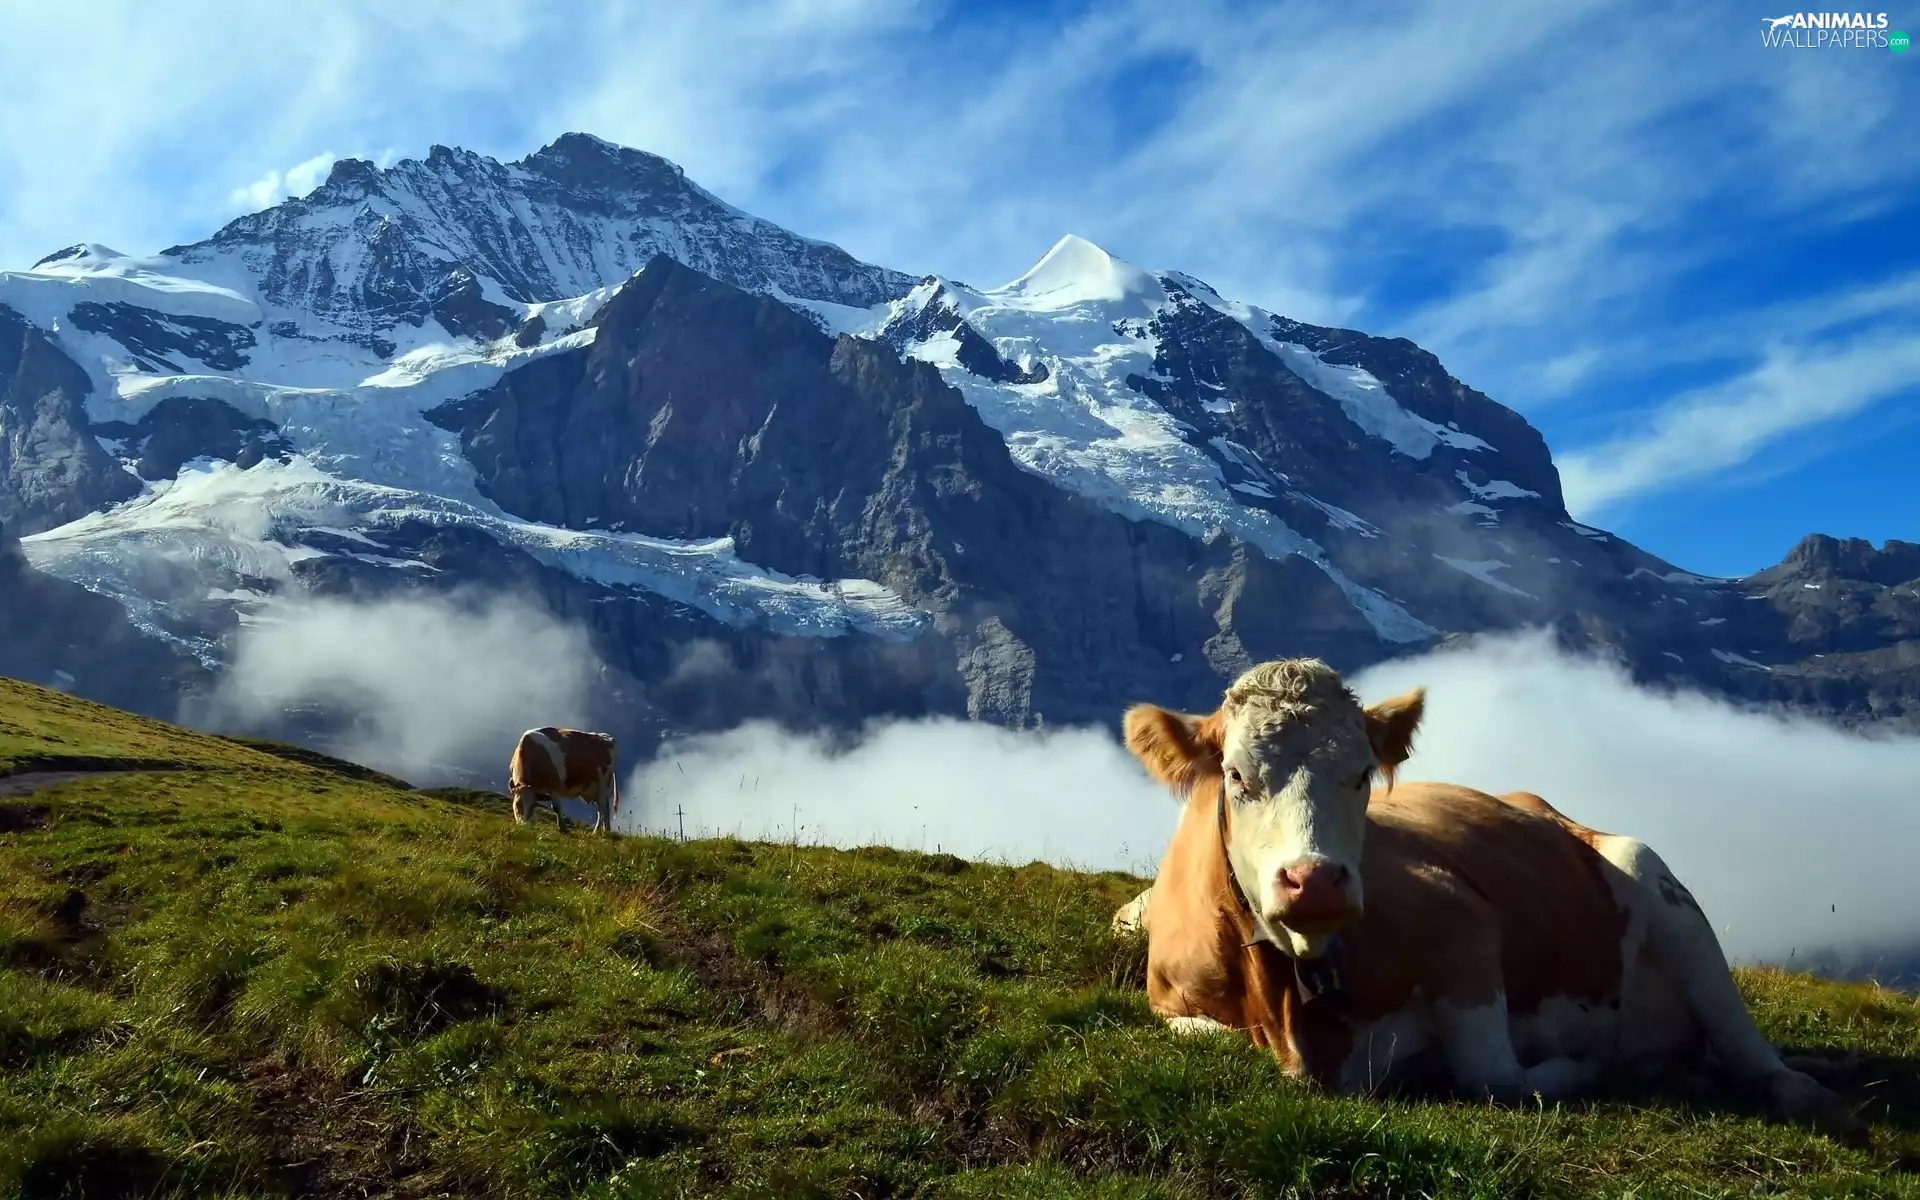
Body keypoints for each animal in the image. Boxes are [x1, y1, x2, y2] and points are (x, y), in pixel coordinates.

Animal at [1111, 657, 1862, 1138]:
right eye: (1236, 775)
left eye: (1361, 775)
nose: (1316, 880)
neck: (1293, 1013)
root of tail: (1540, 805)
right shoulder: (1171, 1004)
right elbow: (1213, 1037)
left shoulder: (1463, 918)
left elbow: (1492, 1075)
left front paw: (1581, 1067)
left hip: (1659, 884)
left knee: (1746, 1046)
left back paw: (1798, 1090)